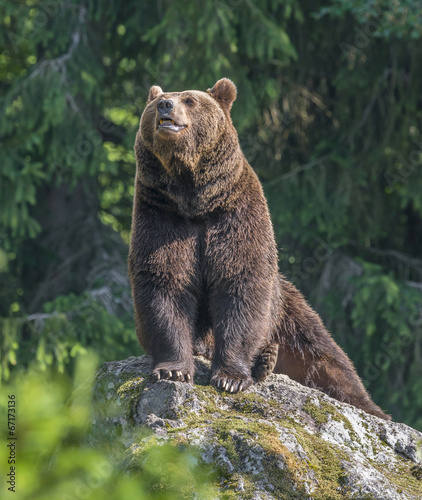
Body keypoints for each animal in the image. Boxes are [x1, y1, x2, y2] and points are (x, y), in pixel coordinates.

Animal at [127, 78, 390, 420]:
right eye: (156, 102)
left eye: (189, 100)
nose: (164, 105)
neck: (193, 197)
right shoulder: (162, 216)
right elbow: (165, 284)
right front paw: (174, 369)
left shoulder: (235, 216)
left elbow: (241, 285)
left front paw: (231, 378)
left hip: (288, 312)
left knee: (325, 357)